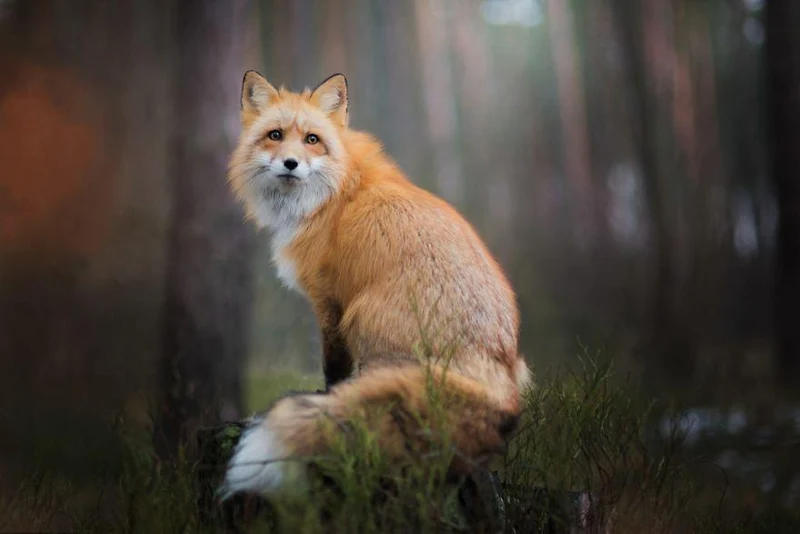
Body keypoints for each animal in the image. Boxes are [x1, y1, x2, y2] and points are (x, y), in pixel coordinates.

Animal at [220, 71, 531, 499]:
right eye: (275, 135)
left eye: (312, 139)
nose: (291, 163)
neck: (332, 195)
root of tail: (501, 389)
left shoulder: (330, 300)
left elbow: (333, 367)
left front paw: (329, 399)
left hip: (364, 316)